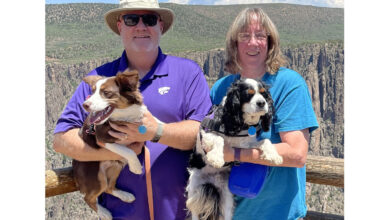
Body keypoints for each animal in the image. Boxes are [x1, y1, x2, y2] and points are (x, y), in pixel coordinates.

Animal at [72, 69, 145, 219]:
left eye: (106, 93)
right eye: (92, 91)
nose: (85, 105)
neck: (124, 116)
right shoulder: (102, 138)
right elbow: (128, 150)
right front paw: (136, 167)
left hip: (116, 167)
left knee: (109, 187)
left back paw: (125, 195)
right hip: (97, 177)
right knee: (89, 197)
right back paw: (104, 213)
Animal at [187, 78, 282, 220]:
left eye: (263, 94)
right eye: (249, 94)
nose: (262, 103)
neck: (239, 123)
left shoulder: (247, 144)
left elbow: (266, 141)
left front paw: (274, 156)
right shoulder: (207, 135)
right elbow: (219, 139)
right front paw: (216, 158)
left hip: (226, 197)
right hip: (194, 190)